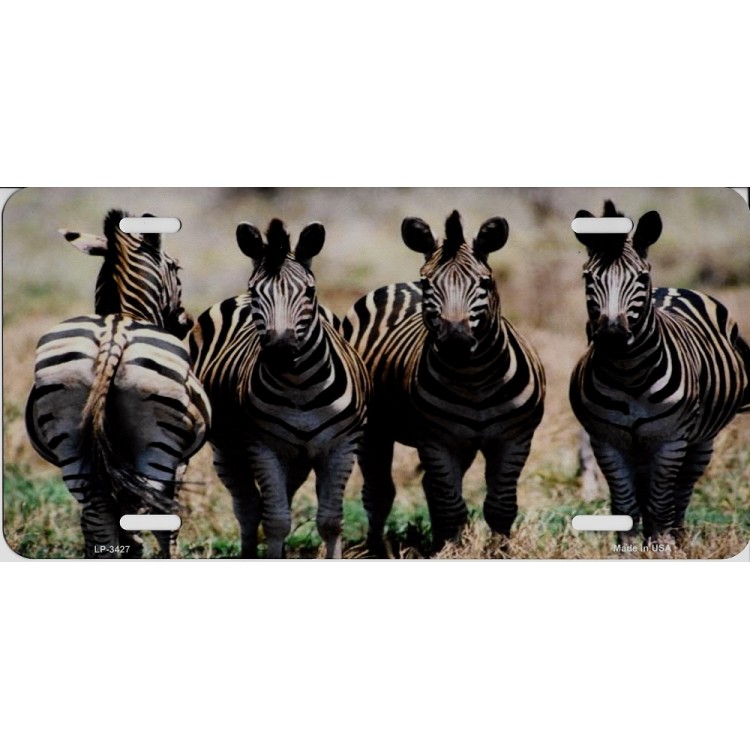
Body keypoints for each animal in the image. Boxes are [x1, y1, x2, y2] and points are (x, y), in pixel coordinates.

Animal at [25, 209, 211, 558]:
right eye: (177, 268)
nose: (186, 322)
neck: (124, 312)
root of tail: (113, 337)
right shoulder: (181, 462)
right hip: (158, 446)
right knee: (151, 512)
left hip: (71, 440)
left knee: (97, 515)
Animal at [189, 218, 370, 559]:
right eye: (255, 291)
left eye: (310, 291)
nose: (281, 351)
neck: (300, 388)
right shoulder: (263, 447)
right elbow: (275, 521)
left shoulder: (342, 446)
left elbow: (330, 522)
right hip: (227, 451)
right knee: (249, 509)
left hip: (297, 458)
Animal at [342, 210, 546, 556]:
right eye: (428, 283)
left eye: (485, 282)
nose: (455, 341)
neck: (474, 379)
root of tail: (398, 286)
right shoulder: (437, 441)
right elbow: (451, 507)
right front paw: (452, 553)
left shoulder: (514, 438)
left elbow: (500, 507)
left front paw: (498, 553)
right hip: (374, 430)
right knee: (379, 492)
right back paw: (376, 550)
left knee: (428, 487)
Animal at [569, 200, 750, 546]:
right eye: (588, 277)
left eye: (640, 277)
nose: (612, 336)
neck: (628, 375)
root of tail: (674, 288)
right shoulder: (606, 442)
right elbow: (625, 504)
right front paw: (627, 547)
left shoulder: (670, 441)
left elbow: (661, 502)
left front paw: (661, 547)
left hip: (700, 441)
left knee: (681, 490)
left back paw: (678, 538)